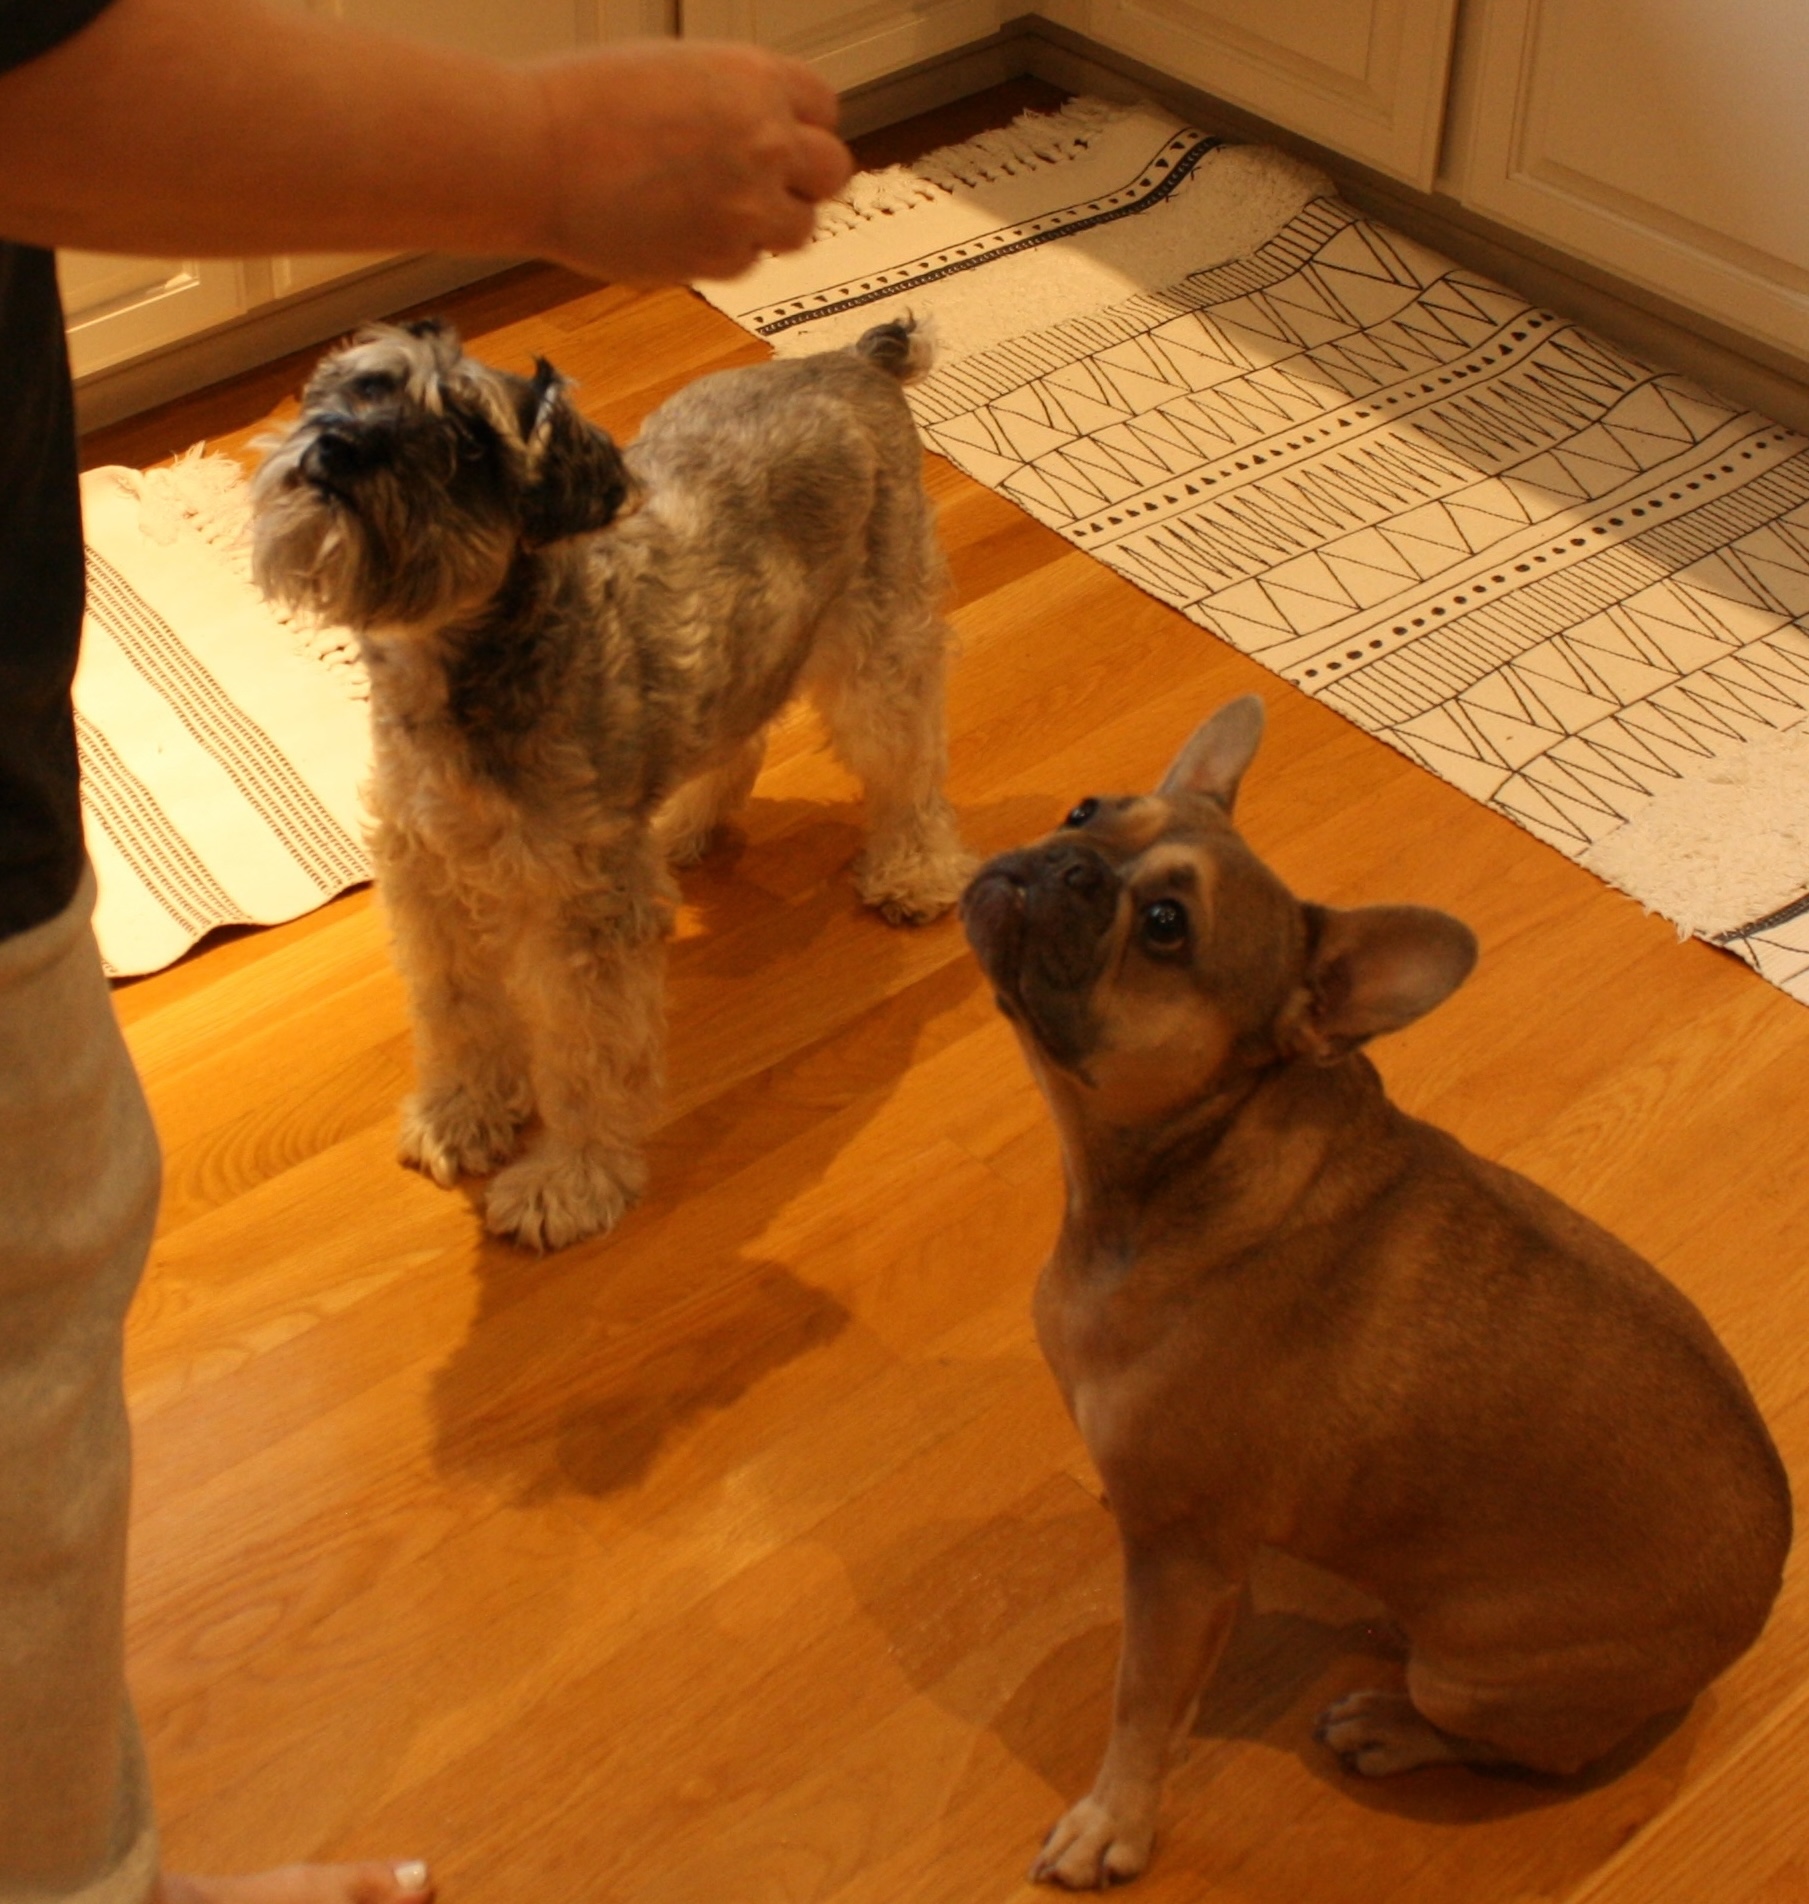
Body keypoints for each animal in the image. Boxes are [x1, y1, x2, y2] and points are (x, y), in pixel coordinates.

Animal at [255, 314, 974, 1249]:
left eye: (469, 439)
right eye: (363, 386)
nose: (338, 446)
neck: (456, 668)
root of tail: (853, 361)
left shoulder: (579, 913)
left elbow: (584, 1058)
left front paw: (569, 1182)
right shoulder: (429, 885)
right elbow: (456, 1013)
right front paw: (462, 1114)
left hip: (875, 647)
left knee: (909, 759)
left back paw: (914, 871)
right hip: (746, 653)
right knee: (738, 737)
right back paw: (686, 830)